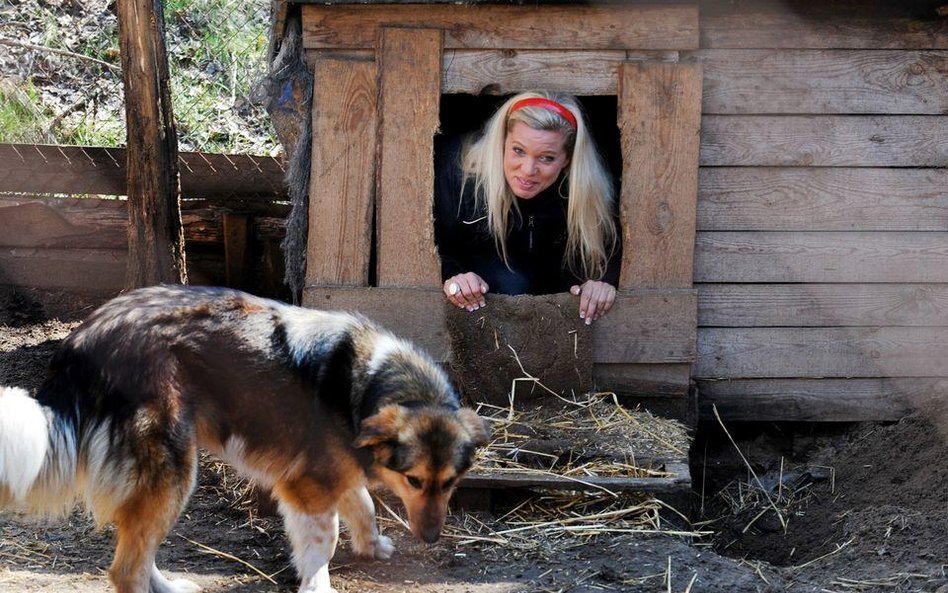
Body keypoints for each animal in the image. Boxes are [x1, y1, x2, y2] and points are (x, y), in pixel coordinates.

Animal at [0, 284, 488, 588]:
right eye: (414, 481)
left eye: (450, 482)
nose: (431, 538)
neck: (368, 382)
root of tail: (82, 341)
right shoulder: (307, 487)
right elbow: (323, 543)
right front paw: (318, 584)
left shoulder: (337, 468)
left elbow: (363, 505)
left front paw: (372, 546)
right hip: (174, 470)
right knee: (125, 571)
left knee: (137, 552)